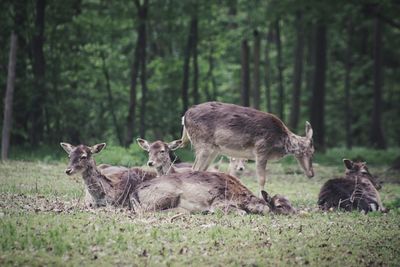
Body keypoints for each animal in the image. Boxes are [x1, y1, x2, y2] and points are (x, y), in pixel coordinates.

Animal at [181, 102, 316, 193]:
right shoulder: (261, 150)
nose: (311, 173)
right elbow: (262, 178)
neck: (281, 141)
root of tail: (184, 116)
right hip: (203, 144)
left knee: (201, 170)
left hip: (213, 150)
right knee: (194, 169)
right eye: (312, 151)